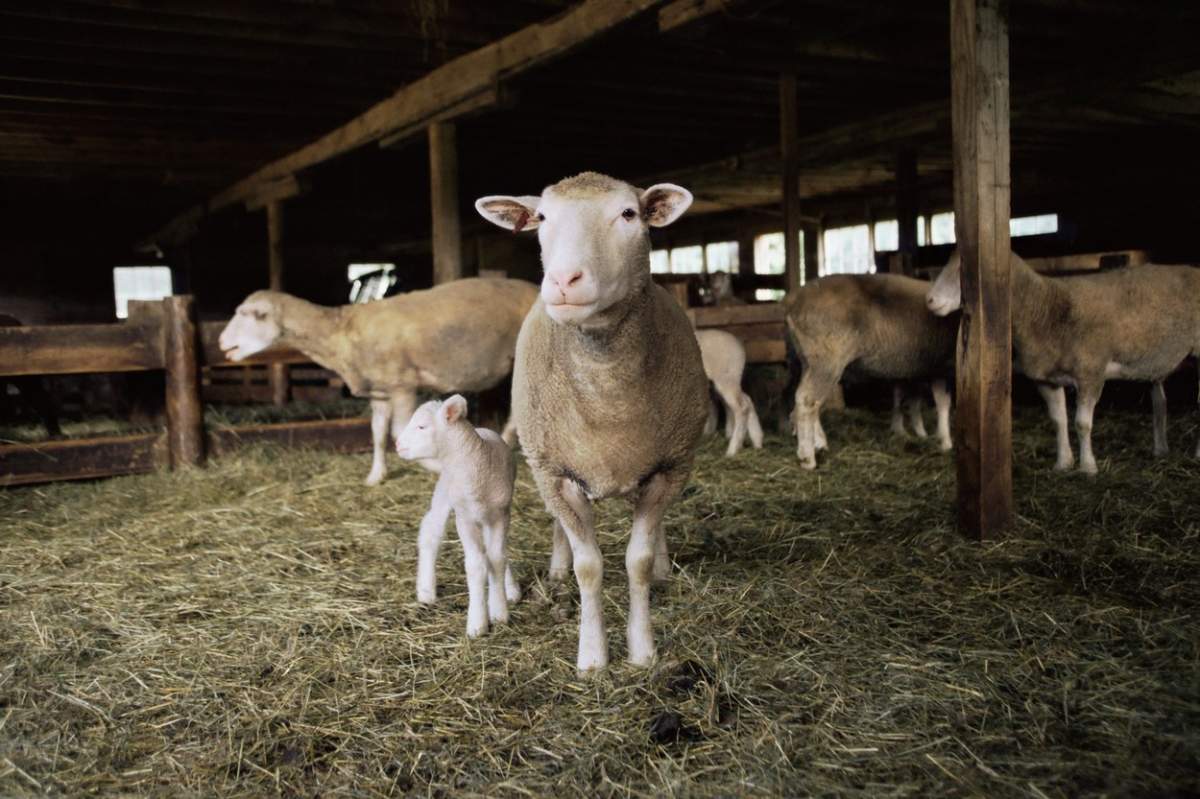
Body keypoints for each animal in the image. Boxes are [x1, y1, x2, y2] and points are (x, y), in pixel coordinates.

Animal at [216, 273, 535, 484]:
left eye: (247, 314)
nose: (219, 342)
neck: (339, 333)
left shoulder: (402, 384)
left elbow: (399, 431)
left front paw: (435, 466)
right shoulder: (380, 390)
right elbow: (378, 432)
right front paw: (375, 476)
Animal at [396, 391, 518, 633]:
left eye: (422, 426)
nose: (397, 445)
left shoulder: (500, 515)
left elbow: (497, 558)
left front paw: (499, 611)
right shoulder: (465, 518)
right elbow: (475, 565)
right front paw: (478, 623)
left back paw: (510, 589)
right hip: (445, 489)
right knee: (431, 532)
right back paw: (426, 591)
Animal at [472, 171, 705, 667]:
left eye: (629, 214)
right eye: (542, 217)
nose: (564, 279)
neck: (607, 395)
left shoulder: (669, 468)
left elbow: (636, 561)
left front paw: (642, 650)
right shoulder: (555, 474)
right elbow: (589, 566)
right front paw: (593, 656)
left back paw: (663, 566)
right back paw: (558, 568)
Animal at [782, 272, 960, 467]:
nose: (933, 300)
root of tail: (793, 299)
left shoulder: (934, 368)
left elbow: (936, 401)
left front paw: (936, 437)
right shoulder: (944, 367)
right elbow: (942, 403)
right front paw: (945, 441)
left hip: (809, 359)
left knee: (808, 401)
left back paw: (819, 444)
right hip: (826, 358)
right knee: (807, 400)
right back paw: (807, 458)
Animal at [926, 251, 1200, 470]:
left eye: (964, 270)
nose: (929, 300)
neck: (1045, 307)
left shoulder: (1091, 373)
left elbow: (1082, 424)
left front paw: (1088, 467)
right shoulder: (1047, 380)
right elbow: (1058, 421)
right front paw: (1063, 463)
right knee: (1160, 402)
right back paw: (1161, 449)